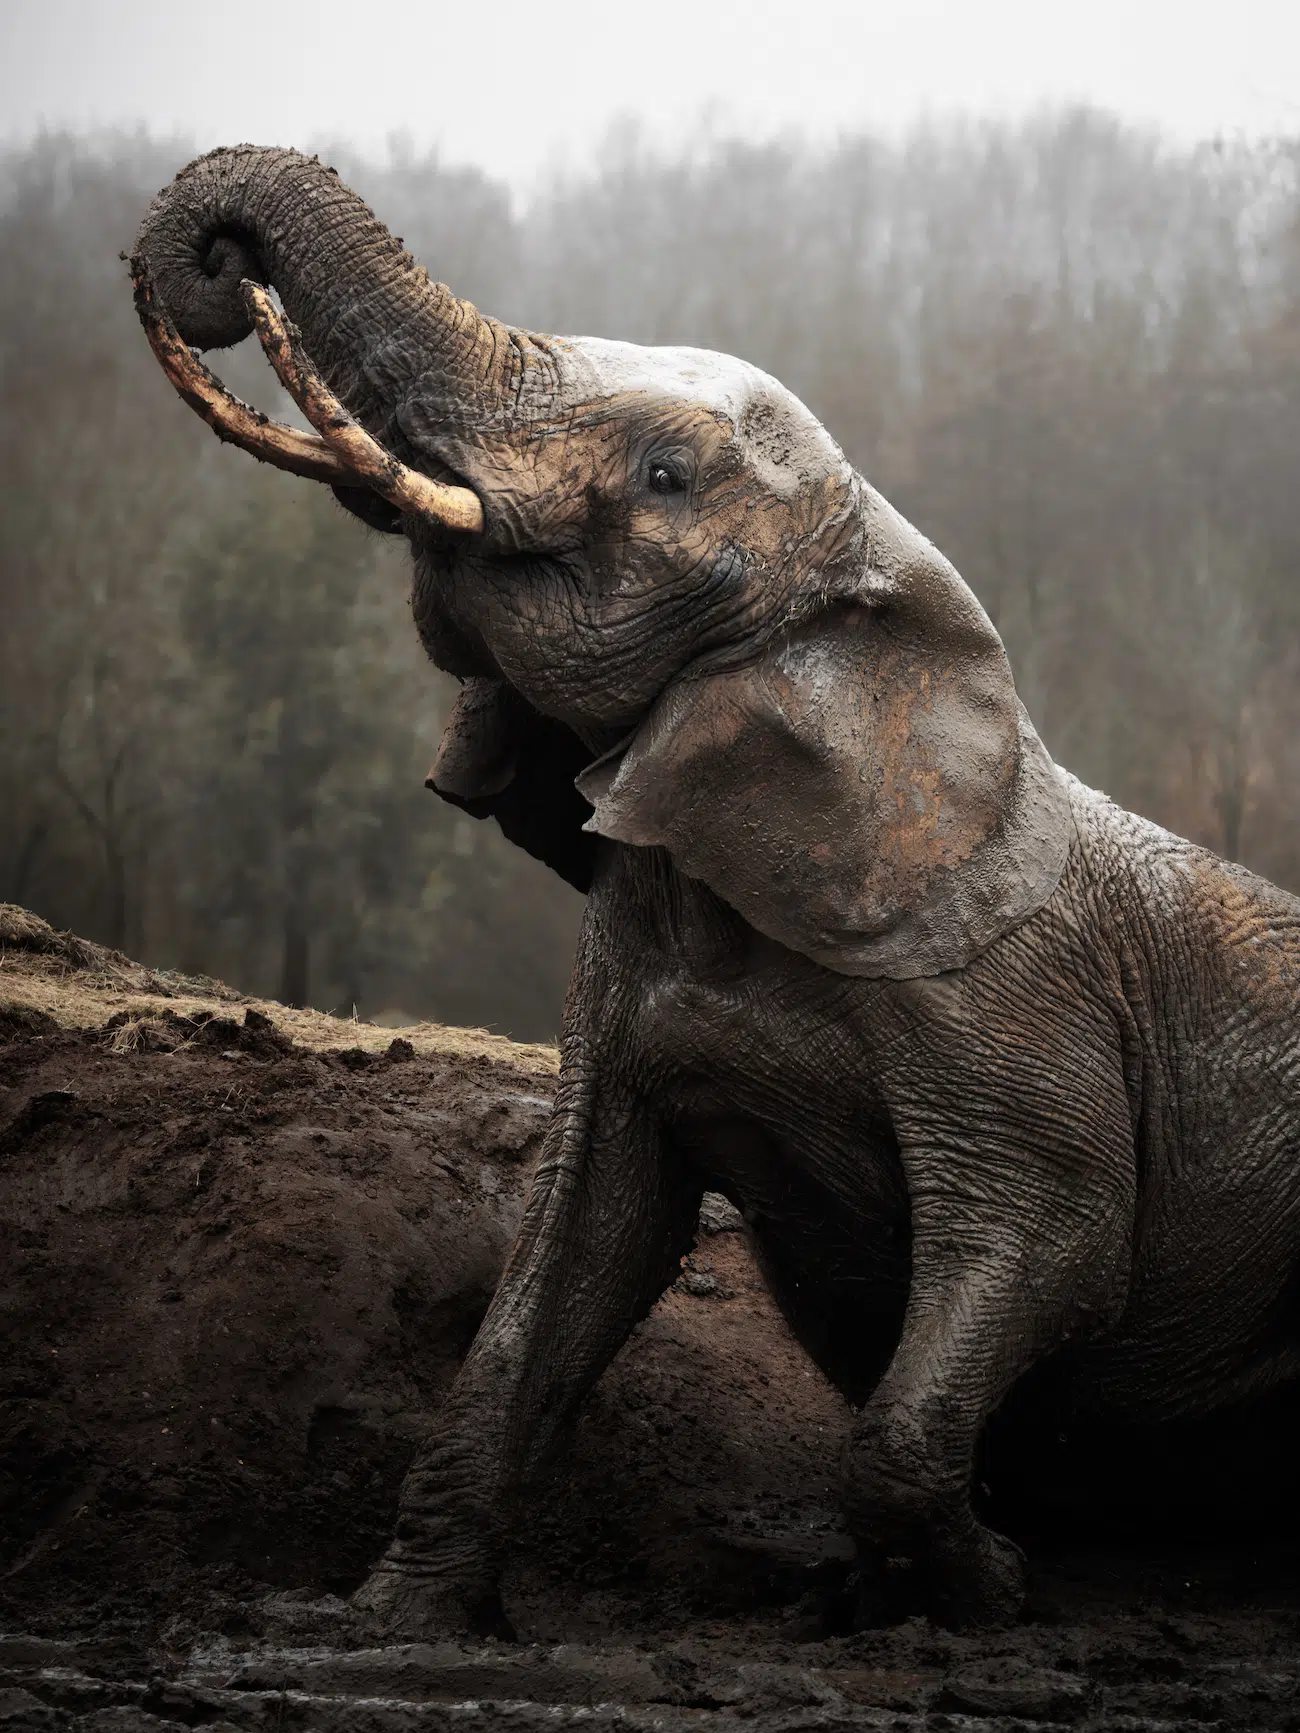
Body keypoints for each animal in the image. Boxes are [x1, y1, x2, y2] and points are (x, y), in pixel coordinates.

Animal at [131, 146, 1300, 1631]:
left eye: (668, 472)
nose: (220, 269)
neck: (876, 597)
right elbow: (579, 1246)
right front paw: (392, 1622)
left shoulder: (1007, 1003)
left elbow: (1055, 1235)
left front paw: (988, 1584)